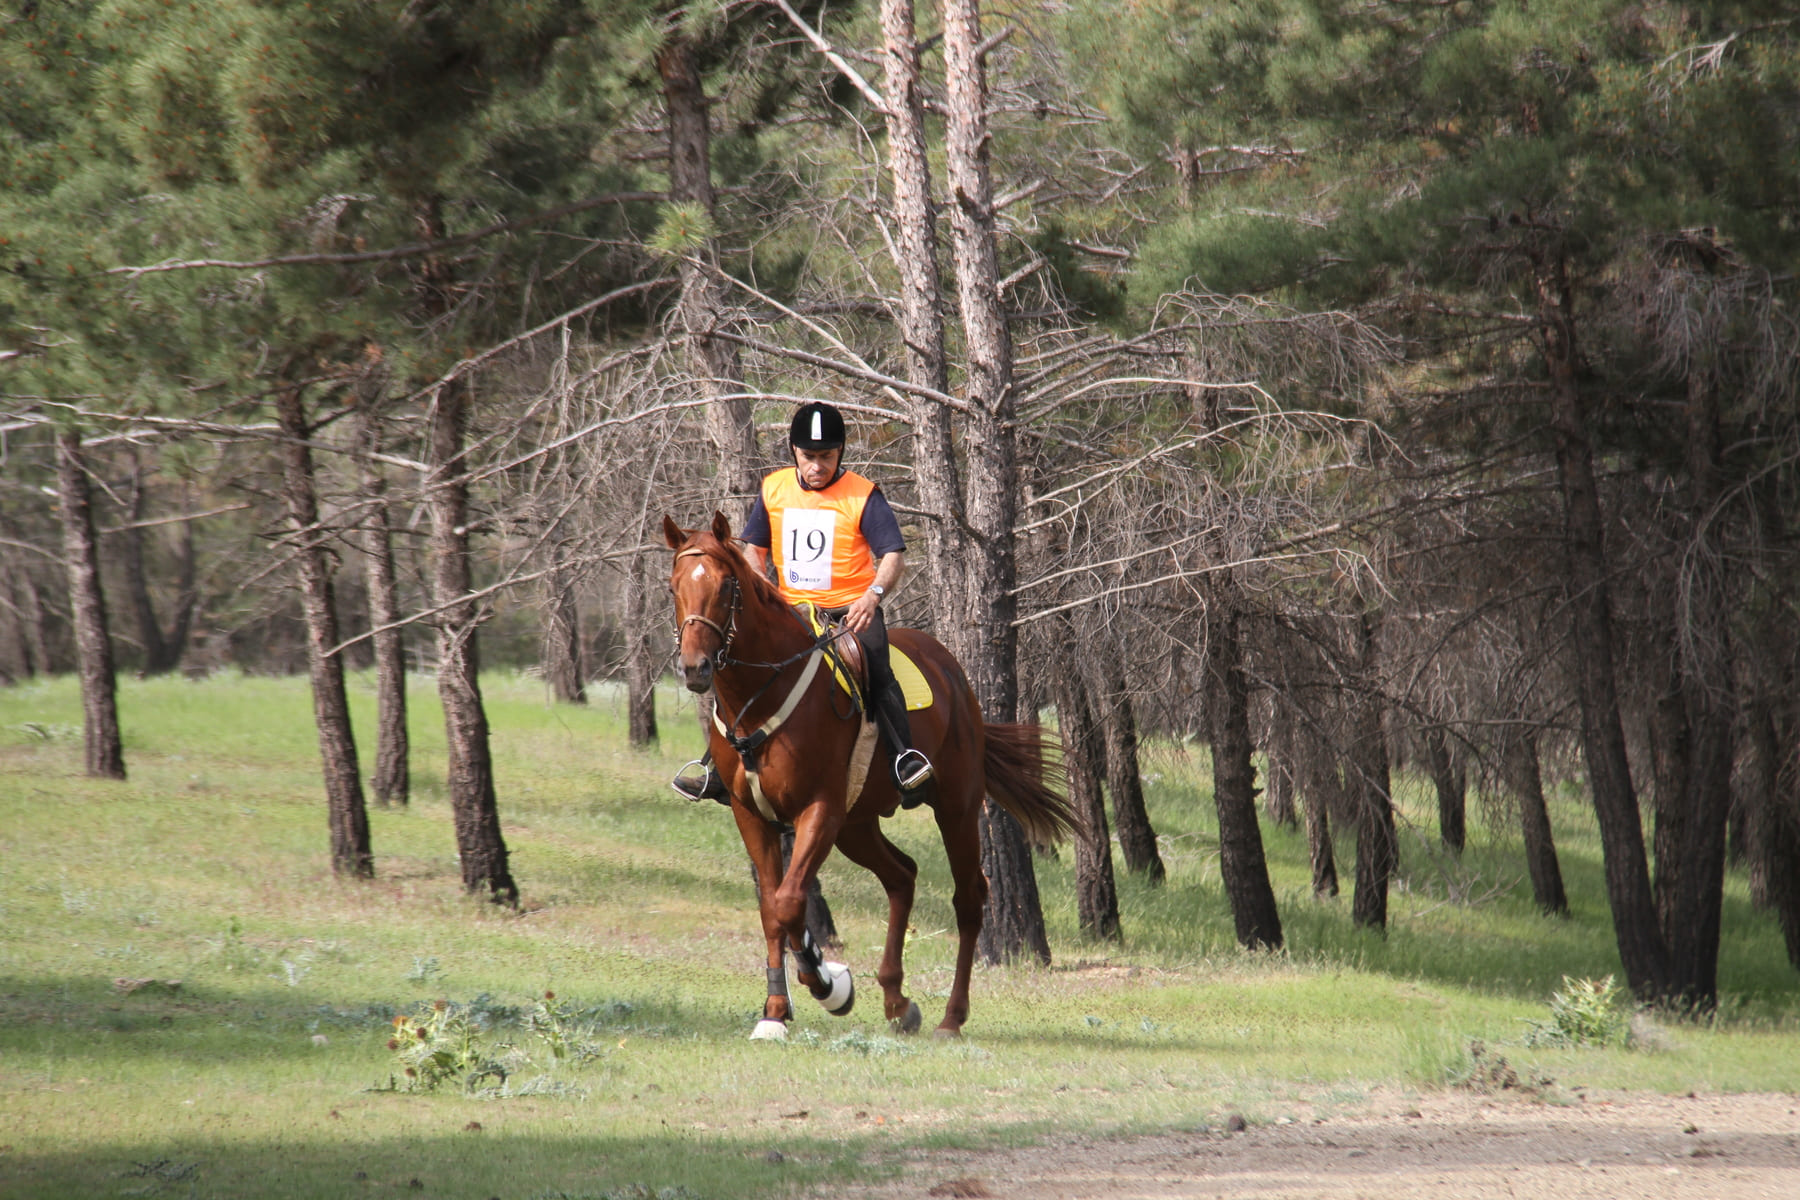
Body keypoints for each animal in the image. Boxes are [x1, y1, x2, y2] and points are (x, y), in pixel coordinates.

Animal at [663, 512, 1077, 1039]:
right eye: (674, 586)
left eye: (724, 586)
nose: (694, 668)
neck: (762, 693)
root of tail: (950, 668)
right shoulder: (751, 815)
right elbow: (772, 909)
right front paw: (775, 1011)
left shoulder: (819, 808)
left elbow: (790, 900)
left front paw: (826, 983)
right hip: (856, 827)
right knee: (902, 876)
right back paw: (898, 1001)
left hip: (956, 808)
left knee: (968, 898)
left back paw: (951, 1017)